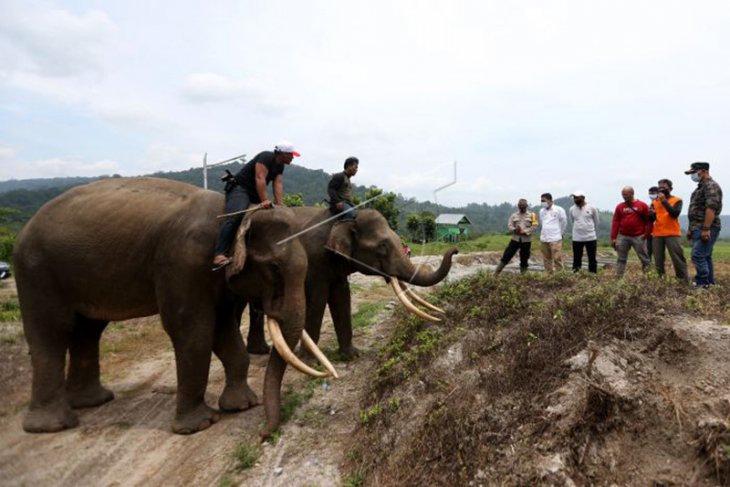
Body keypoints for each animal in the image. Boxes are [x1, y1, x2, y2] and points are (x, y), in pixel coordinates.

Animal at [13, 178, 332, 438]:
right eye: (274, 267)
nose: (263, 434)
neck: (236, 214)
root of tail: (25, 230)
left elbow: (224, 330)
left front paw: (242, 406)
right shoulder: (183, 264)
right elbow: (193, 332)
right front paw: (200, 425)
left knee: (87, 329)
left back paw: (93, 402)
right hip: (36, 271)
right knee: (51, 332)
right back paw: (53, 426)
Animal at [247, 208, 458, 360]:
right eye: (382, 247)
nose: (454, 250)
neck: (344, 220)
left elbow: (342, 296)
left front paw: (352, 356)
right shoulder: (315, 261)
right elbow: (318, 299)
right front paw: (309, 360)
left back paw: (260, 351)